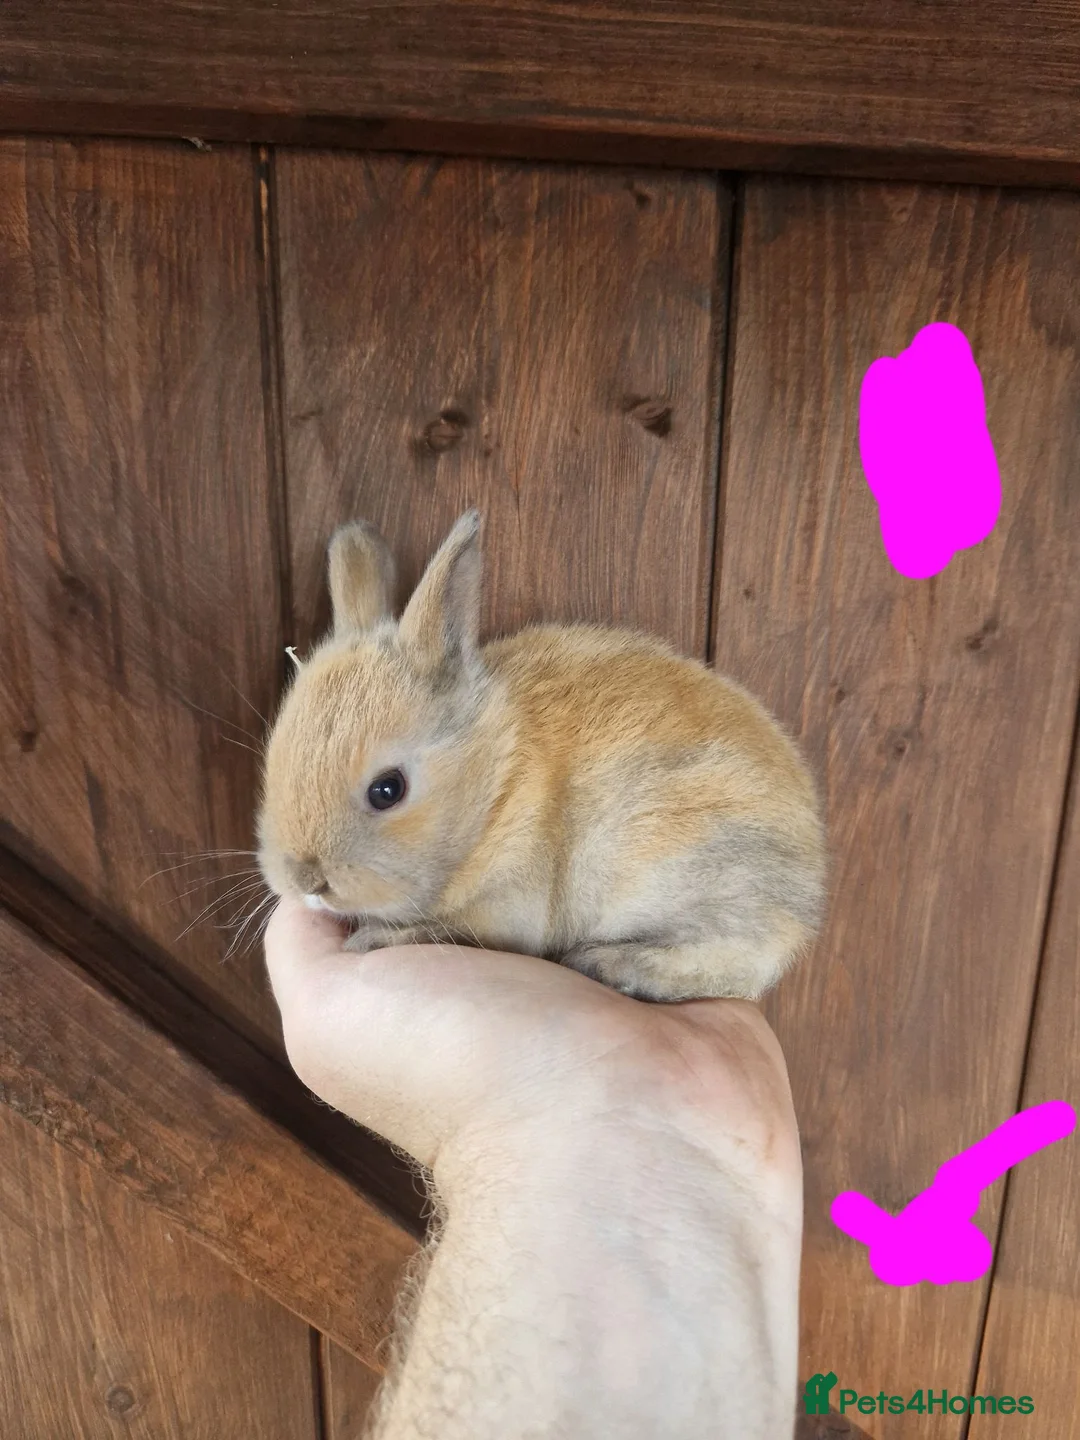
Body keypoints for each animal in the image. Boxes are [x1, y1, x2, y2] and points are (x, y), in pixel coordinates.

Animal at [256, 510, 826, 1002]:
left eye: (387, 790)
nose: (305, 881)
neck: (495, 785)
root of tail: (809, 883)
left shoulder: (508, 904)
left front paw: (375, 938)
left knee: (743, 960)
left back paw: (613, 965)